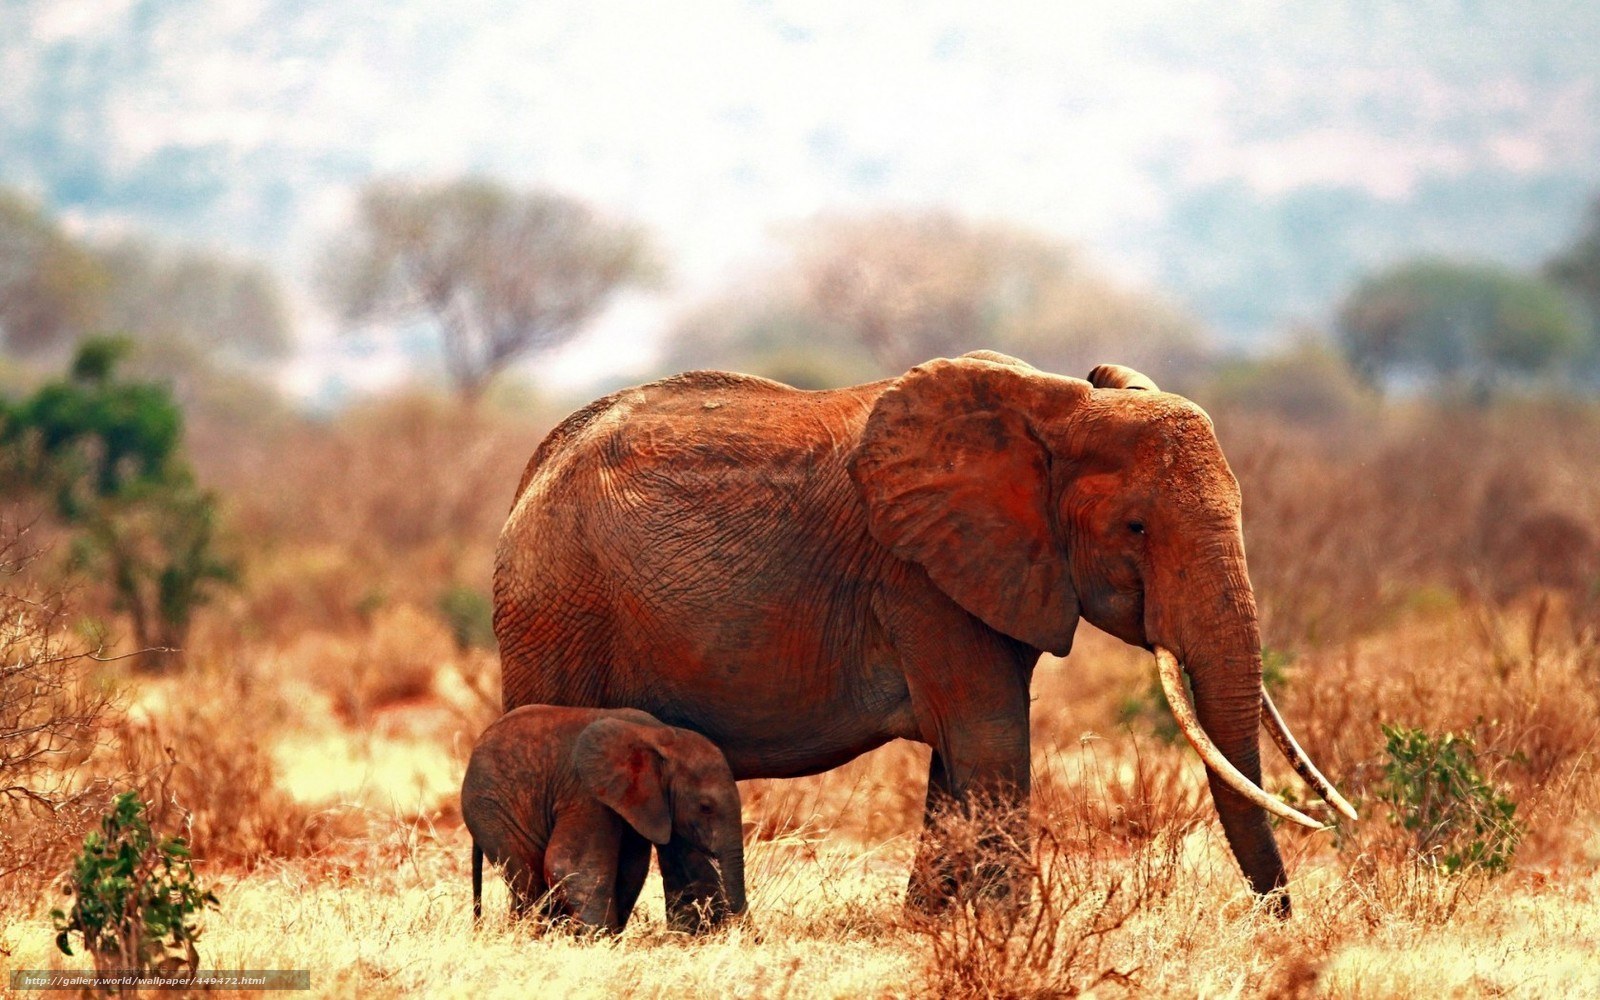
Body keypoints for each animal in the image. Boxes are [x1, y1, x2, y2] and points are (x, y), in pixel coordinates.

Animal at [461, 705, 746, 932]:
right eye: (705, 807)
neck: (661, 735)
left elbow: (631, 870)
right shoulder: (586, 792)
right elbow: (571, 867)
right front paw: (598, 940)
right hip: (490, 809)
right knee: (528, 878)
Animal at [492, 351, 1353, 919]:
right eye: (1137, 528)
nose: (1276, 920)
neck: (1057, 406)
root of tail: (531, 473)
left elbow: (961, 751)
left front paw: (932, 926)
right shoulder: (920, 580)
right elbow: (989, 734)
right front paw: (1006, 932)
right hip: (556, 609)